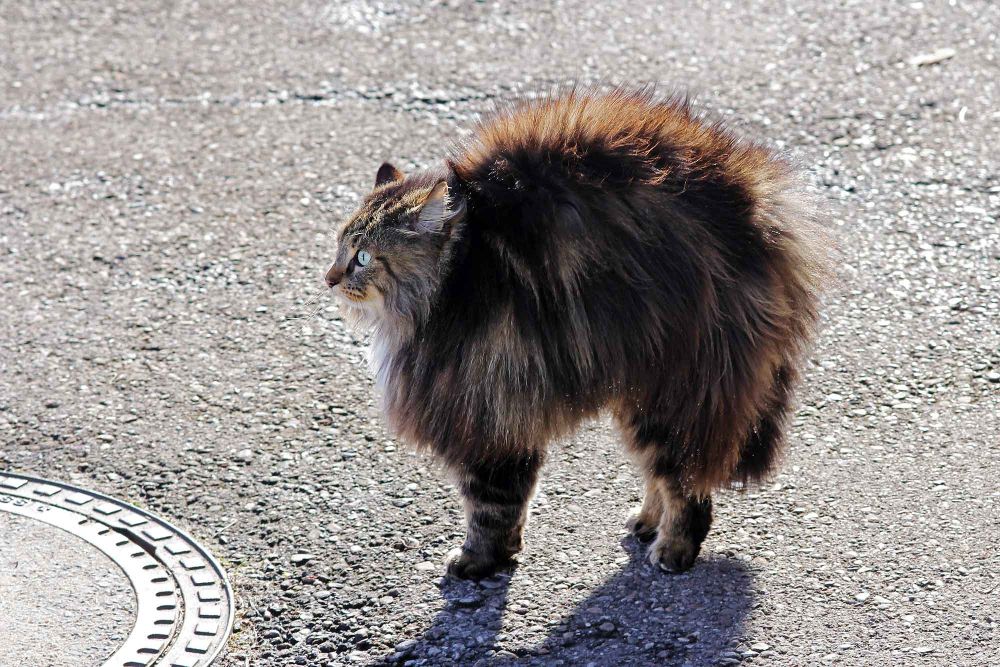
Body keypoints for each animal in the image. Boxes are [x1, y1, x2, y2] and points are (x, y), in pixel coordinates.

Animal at [328, 88, 828, 580]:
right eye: (339, 246)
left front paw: (477, 560)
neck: (457, 278)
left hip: (677, 389)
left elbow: (490, 505)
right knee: (665, 474)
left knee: (687, 483)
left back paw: (672, 549)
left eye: (364, 258)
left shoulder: (486, 410)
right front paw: (505, 552)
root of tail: (760, 207)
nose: (329, 278)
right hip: (642, 391)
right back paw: (647, 522)